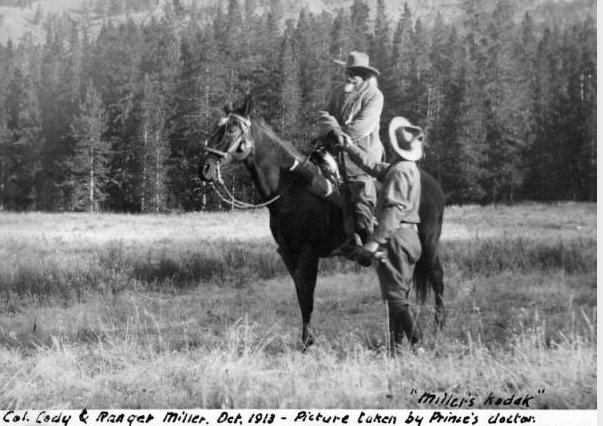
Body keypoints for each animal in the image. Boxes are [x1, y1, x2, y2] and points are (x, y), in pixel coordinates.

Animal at [197, 95, 444, 348]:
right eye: (217, 127)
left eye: (231, 129)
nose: (204, 168)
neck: (292, 187)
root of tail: (432, 183)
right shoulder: (288, 253)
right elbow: (301, 296)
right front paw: (306, 340)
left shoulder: (309, 252)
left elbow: (308, 296)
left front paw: (307, 342)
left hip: (429, 244)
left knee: (436, 280)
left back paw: (437, 328)